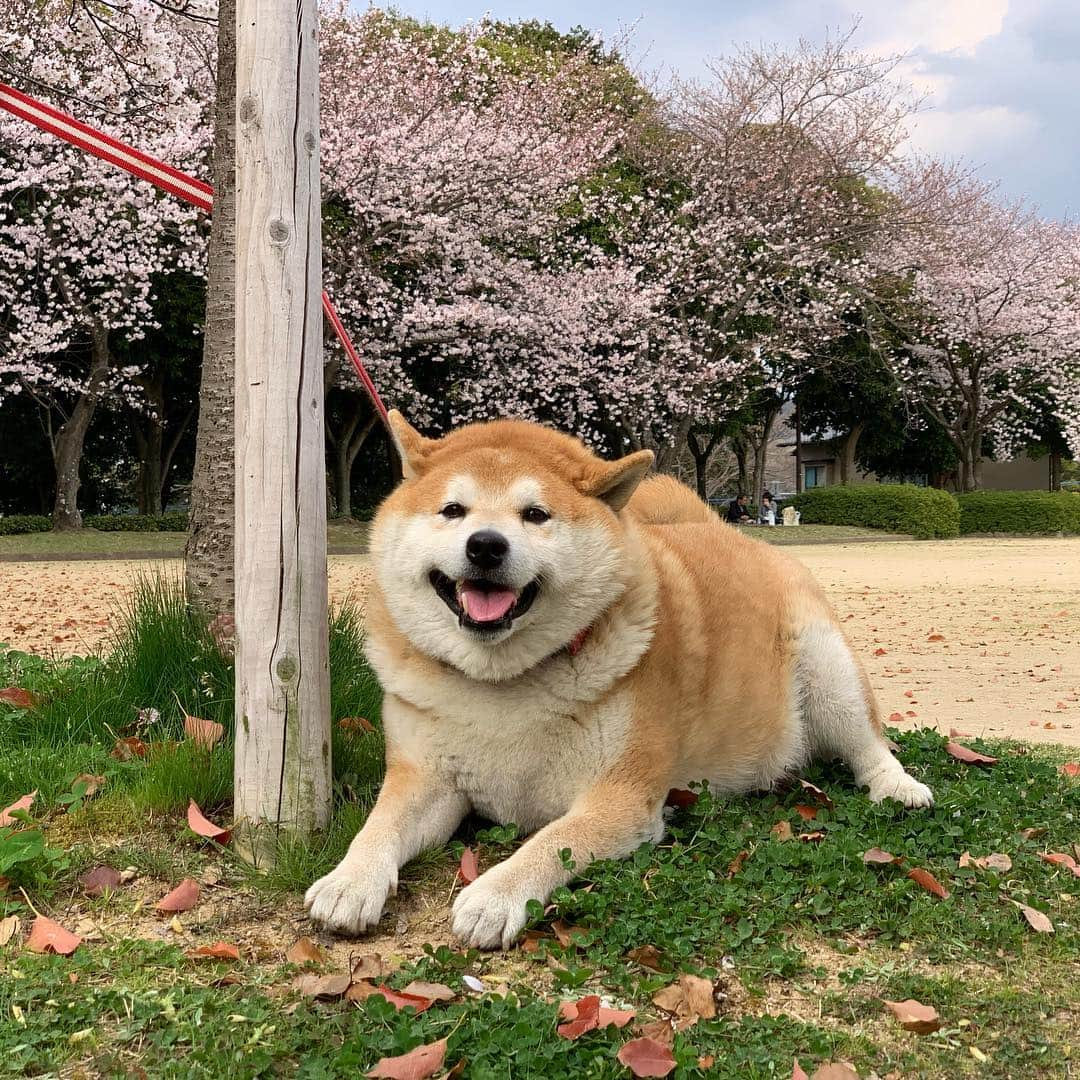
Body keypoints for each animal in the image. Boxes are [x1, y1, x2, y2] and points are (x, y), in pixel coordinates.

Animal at [308, 412, 933, 946]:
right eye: (453, 510)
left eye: (535, 515)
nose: (485, 545)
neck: (503, 682)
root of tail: (730, 532)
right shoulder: (425, 779)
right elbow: (379, 826)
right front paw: (350, 880)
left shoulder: (621, 797)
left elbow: (551, 842)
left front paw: (493, 895)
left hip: (829, 674)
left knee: (869, 744)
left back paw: (897, 787)